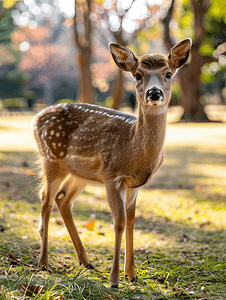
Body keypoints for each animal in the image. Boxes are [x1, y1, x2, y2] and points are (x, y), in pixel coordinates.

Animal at [34, 38, 192, 288]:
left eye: (168, 73)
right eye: (138, 75)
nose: (154, 92)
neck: (133, 151)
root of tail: (35, 118)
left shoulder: (134, 185)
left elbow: (131, 222)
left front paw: (132, 275)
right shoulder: (111, 176)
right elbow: (118, 223)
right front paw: (115, 279)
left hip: (79, 173)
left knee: (62, 199)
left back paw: (86, 261)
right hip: (51, 159)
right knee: (46, 200)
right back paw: (43, 262)